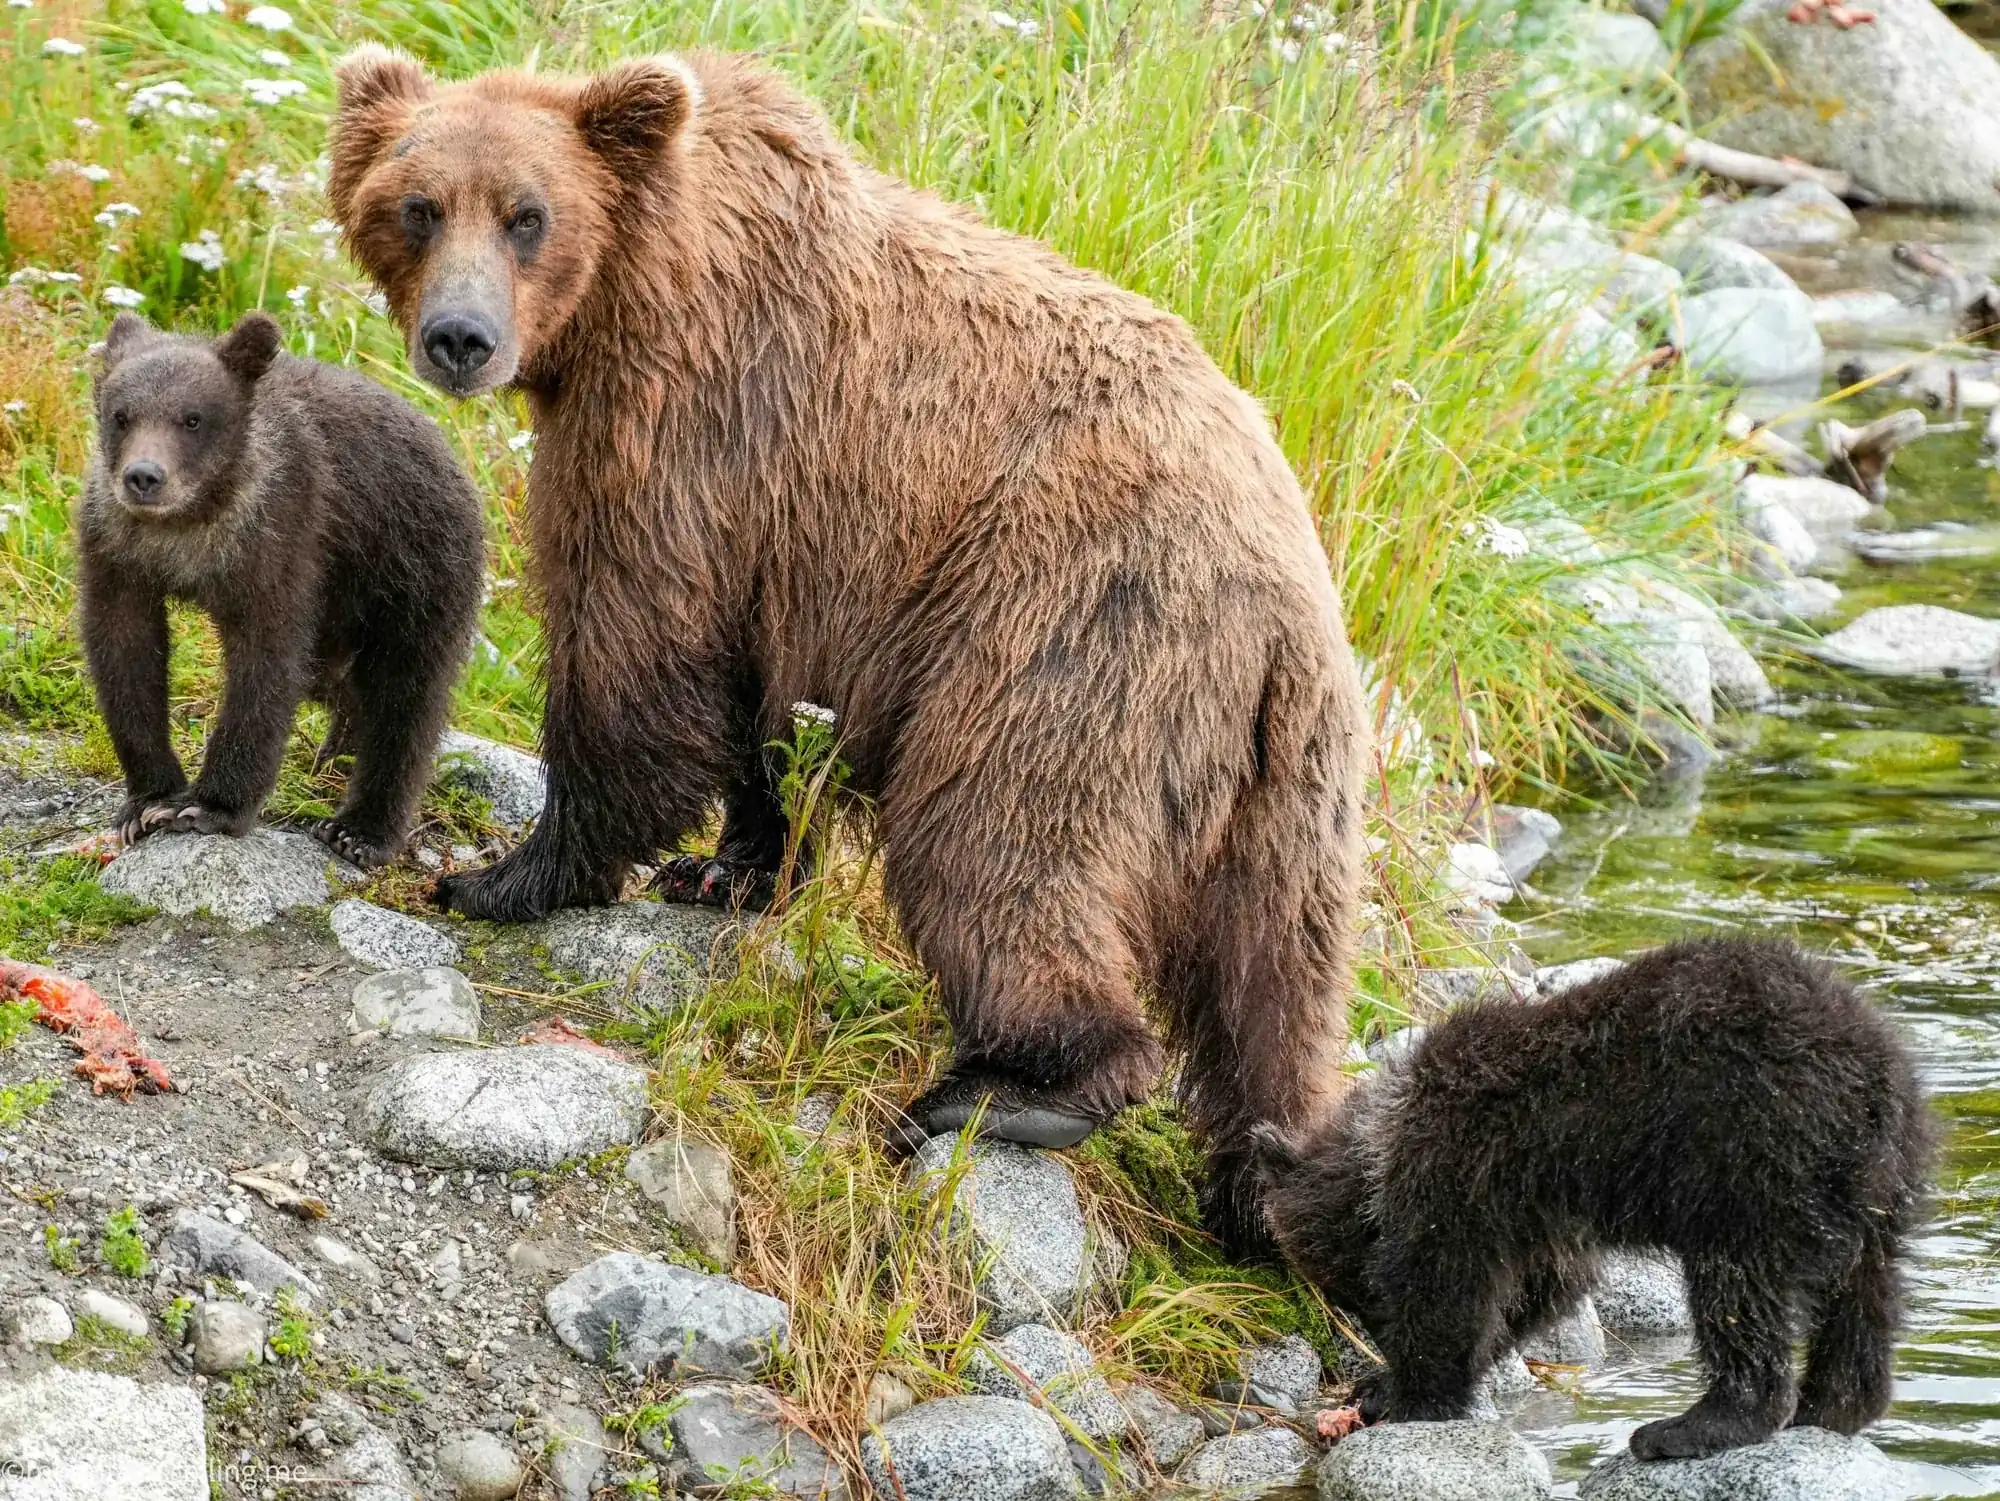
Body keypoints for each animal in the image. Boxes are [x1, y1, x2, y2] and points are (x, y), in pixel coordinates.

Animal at [77, 310, 485, 869]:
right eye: (121, 415)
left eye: (192, 418)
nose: (144, 477)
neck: (189, 528)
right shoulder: (117, 550)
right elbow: (126, 655)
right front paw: (148, 801)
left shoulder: (281, 537)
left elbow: (265, 665)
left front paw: (209, 806)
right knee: (344, 685)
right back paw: (339, 750)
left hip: (414, 573)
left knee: (406, 698)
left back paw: (360, 829)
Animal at [326, 46, 1368, 1248]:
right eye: (416, 205)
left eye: (526, 216)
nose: (461, 338)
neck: (634, 286)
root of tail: (1291, 604)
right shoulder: (780, 539)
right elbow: (759, 710)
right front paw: (727, 867)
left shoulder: (691, 428)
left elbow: (635, 647)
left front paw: (506, 874)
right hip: (1290, 788)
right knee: (1276, 982)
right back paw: (1264, 1188)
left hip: (1070, 627)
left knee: (995, 837)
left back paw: (1014, 1089)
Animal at [1255, 936, 1934, 1460]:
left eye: (1362, 1293)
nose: (1362, 1331)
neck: (1385, 1137)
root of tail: (1874, 1073)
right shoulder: (1538, 1209)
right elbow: (1541, 1290)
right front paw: (1383, 1385)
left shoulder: (1460, 1172)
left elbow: (1449, 1287)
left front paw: (1405, 1392)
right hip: (1877, 1184)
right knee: (1866, 1292)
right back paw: (1835, 1405)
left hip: (1749, 1159)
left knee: (1739, 1290)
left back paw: (1687, 1428)